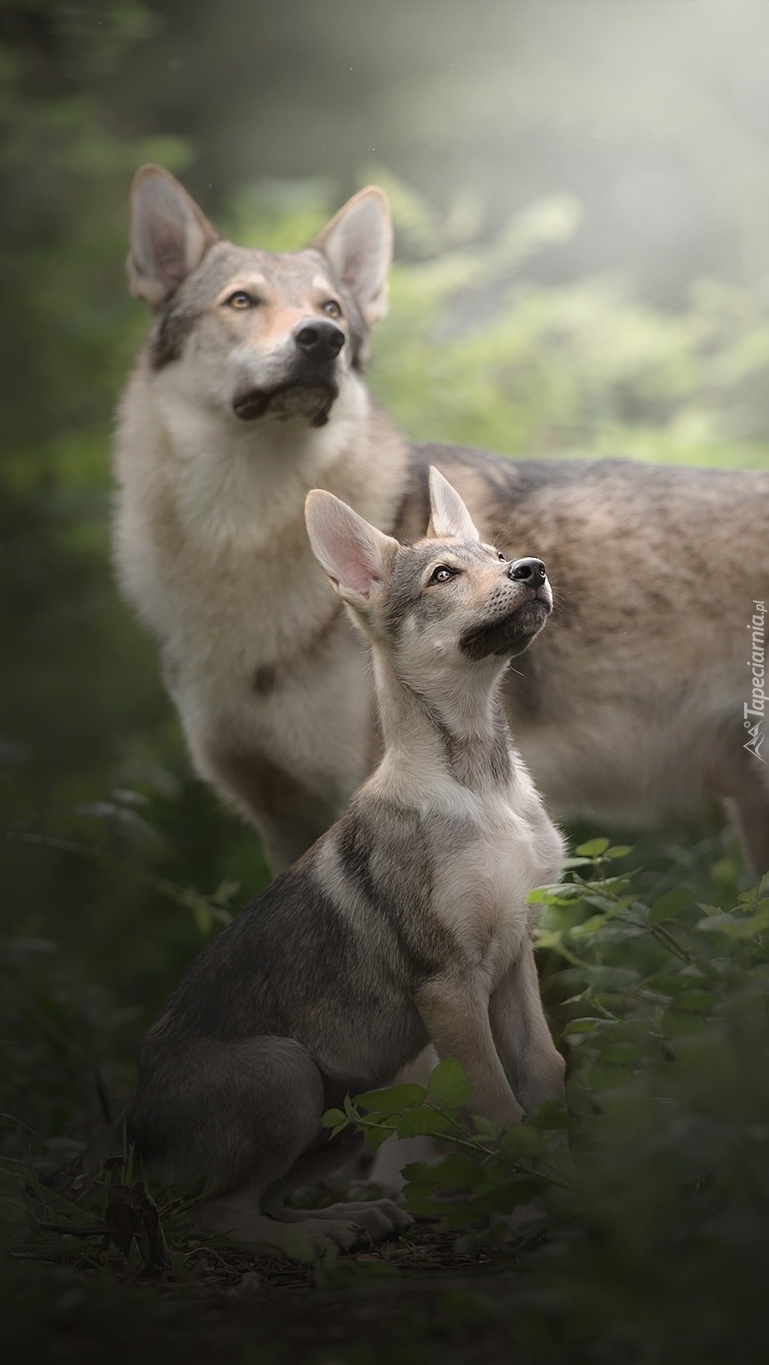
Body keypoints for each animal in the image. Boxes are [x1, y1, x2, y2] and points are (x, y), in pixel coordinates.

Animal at [51, 472, 562, 1255]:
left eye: (500, 556)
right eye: (444, 576)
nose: (532, 569)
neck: (480, 781)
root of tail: (129, 1121)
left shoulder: (512, 959)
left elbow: (544, 1074)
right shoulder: (449, 985)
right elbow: (498, 1108)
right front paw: (527, 1214)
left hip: (359, 1096)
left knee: (265, 1199)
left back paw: (347, 1218)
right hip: (286, 1069)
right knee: (213, 1214)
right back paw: (313, 1239)